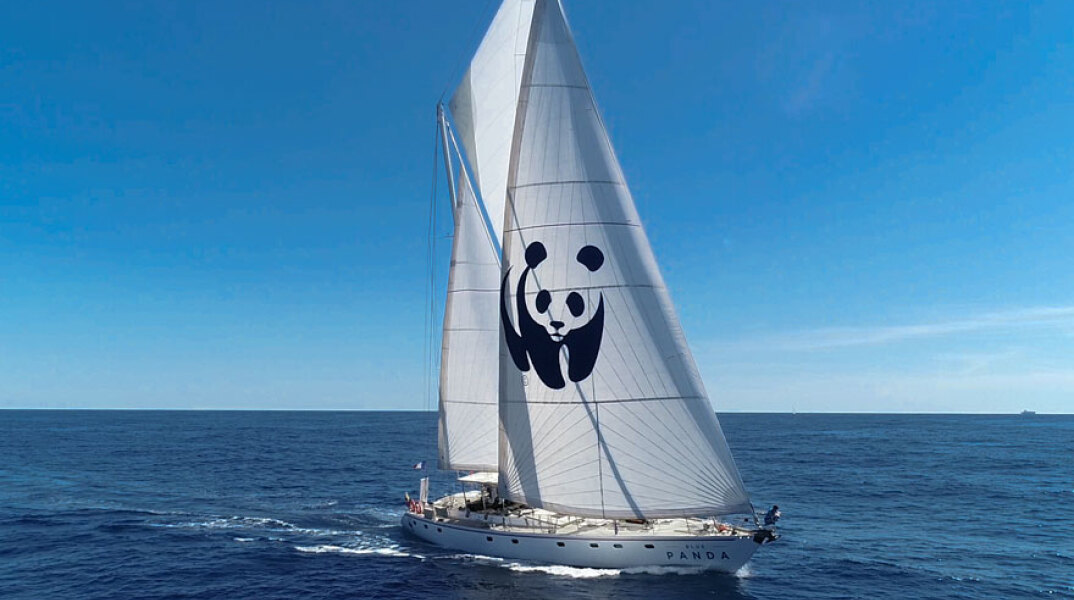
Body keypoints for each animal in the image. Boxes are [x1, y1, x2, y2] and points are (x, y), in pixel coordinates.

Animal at [500, 240, 605, 390]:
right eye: (543, 299)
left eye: (575, 300)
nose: (557, 324)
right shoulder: (528, 320)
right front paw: (557, 381)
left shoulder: (593, 321)